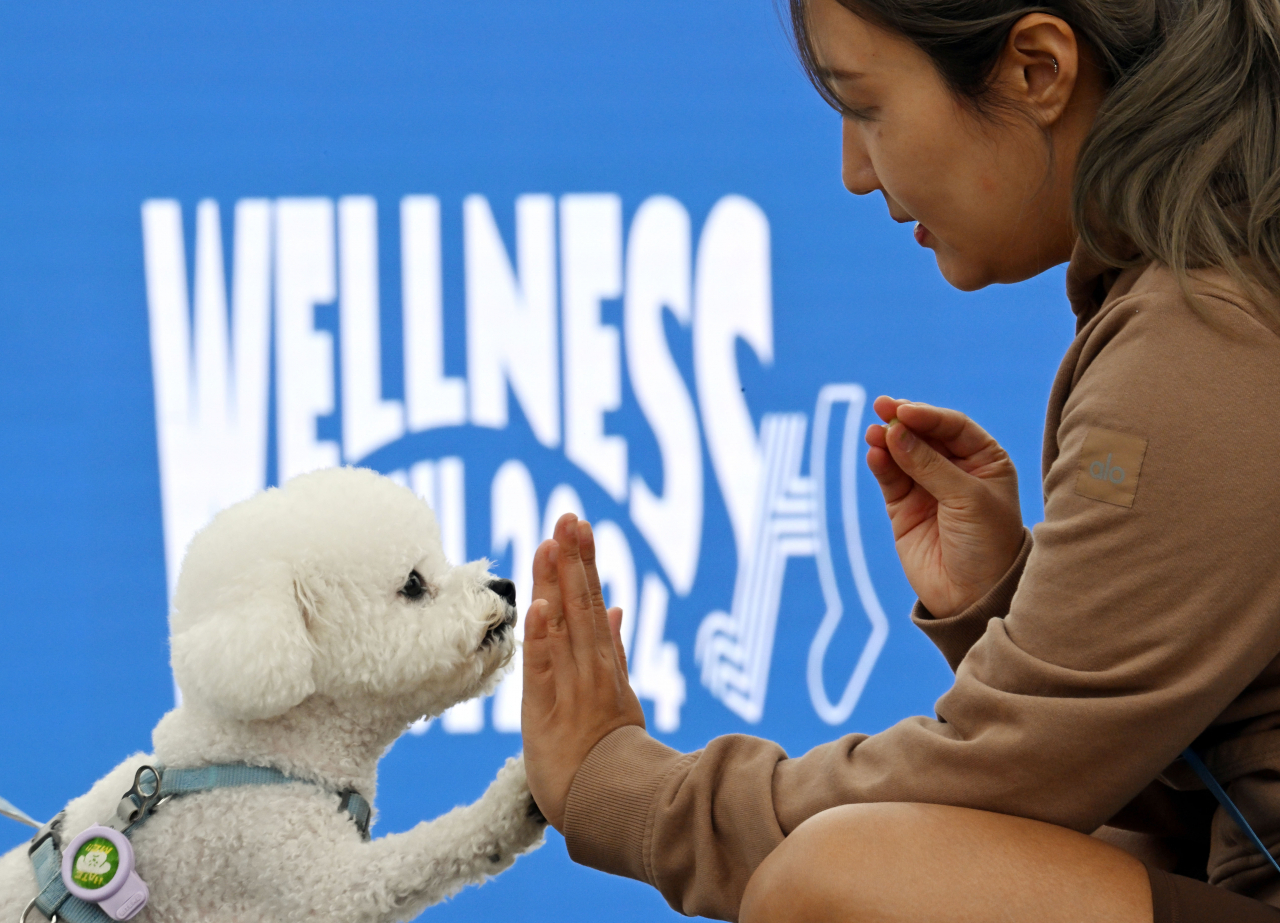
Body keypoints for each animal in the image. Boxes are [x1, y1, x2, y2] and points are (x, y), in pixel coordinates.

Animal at [0, 468, 545, 921]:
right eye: (413, 583)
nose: (507, 586)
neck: (262, 759)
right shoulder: (300, 877)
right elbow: (418, 854)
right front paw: (510, 805)